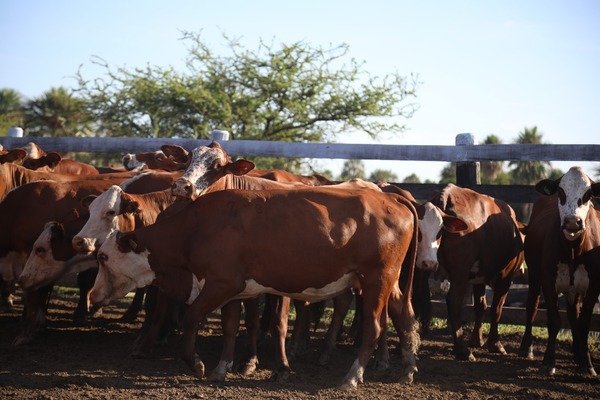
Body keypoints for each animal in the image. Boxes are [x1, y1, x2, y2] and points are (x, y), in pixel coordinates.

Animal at [92, 186, 418, 390]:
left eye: (103, 257)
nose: (93, 295)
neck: (196, 229)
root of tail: (391, 198)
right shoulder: (232, 290)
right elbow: (230, 326)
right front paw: (220, 369)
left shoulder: (221, 283)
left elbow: (191, 317)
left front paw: (196, 364)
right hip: (388, 282)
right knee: (404, 317)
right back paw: (408, 369)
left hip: (377, 279)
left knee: (374, 327)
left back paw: (351, 378)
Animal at [516, 165, 596, 376]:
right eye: (561, 191)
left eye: (588, 194)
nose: (572, 222)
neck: (573, 250)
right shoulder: (548, 282)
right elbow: (554, 322)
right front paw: (548, 362)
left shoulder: (594, 287)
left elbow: (584, 323)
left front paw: (587, 364)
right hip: (535, 276)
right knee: (532, 305)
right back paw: (526, 347)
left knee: (573, 314)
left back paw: (577, 354)